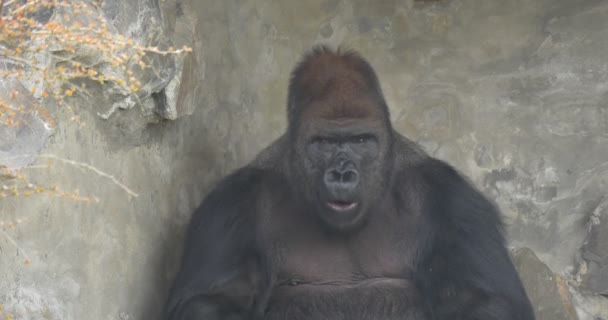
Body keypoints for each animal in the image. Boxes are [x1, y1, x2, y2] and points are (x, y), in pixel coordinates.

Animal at [164, 47, 536, 320]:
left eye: (360, 140)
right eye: (324, 143)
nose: (342, 174)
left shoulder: (452, 200)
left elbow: (487, 301)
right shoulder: (232, 206)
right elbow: (209, 302)